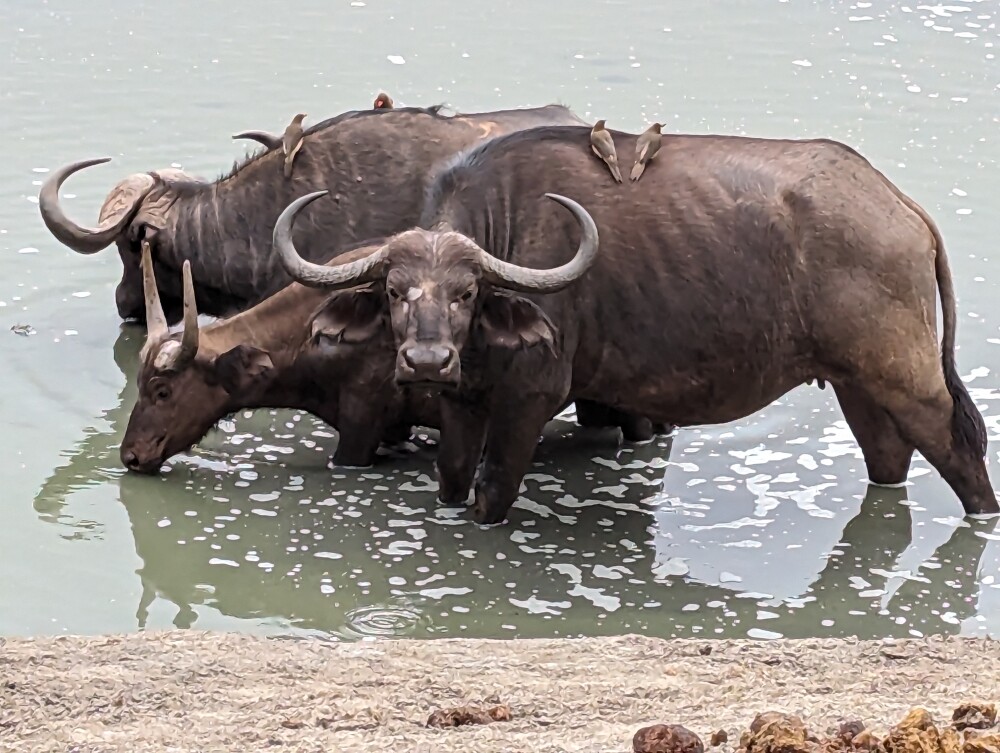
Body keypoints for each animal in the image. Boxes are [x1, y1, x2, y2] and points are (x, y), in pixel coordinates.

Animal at [272, 125, 998, 524]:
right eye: (394, 291)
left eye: (467, 292)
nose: (426, 361)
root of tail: (898, 205)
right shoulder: (465, 399)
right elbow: (452, 478)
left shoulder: (530, 399)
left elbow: (493, 489)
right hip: (856, 385)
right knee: (888, 457)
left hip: (908, 376)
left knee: (960, 446)